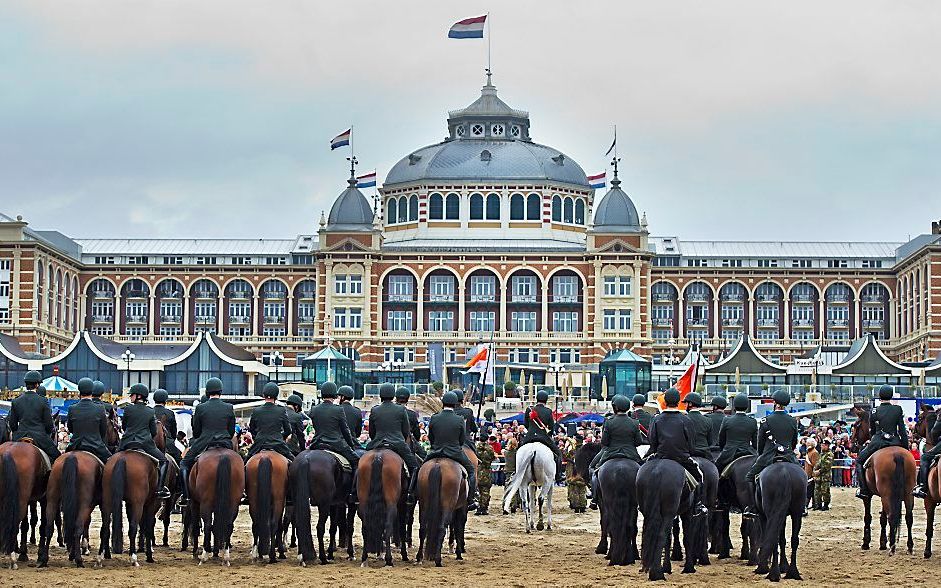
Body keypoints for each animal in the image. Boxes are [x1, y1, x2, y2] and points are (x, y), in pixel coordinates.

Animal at [0, 438, 50, 568]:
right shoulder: (44, 499)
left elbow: (25, 524)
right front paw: (39, 555)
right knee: (14, 521)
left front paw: (23, 552)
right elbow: (42, 525)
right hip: (21, 499)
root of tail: (7, 452)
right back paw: (12, 557)